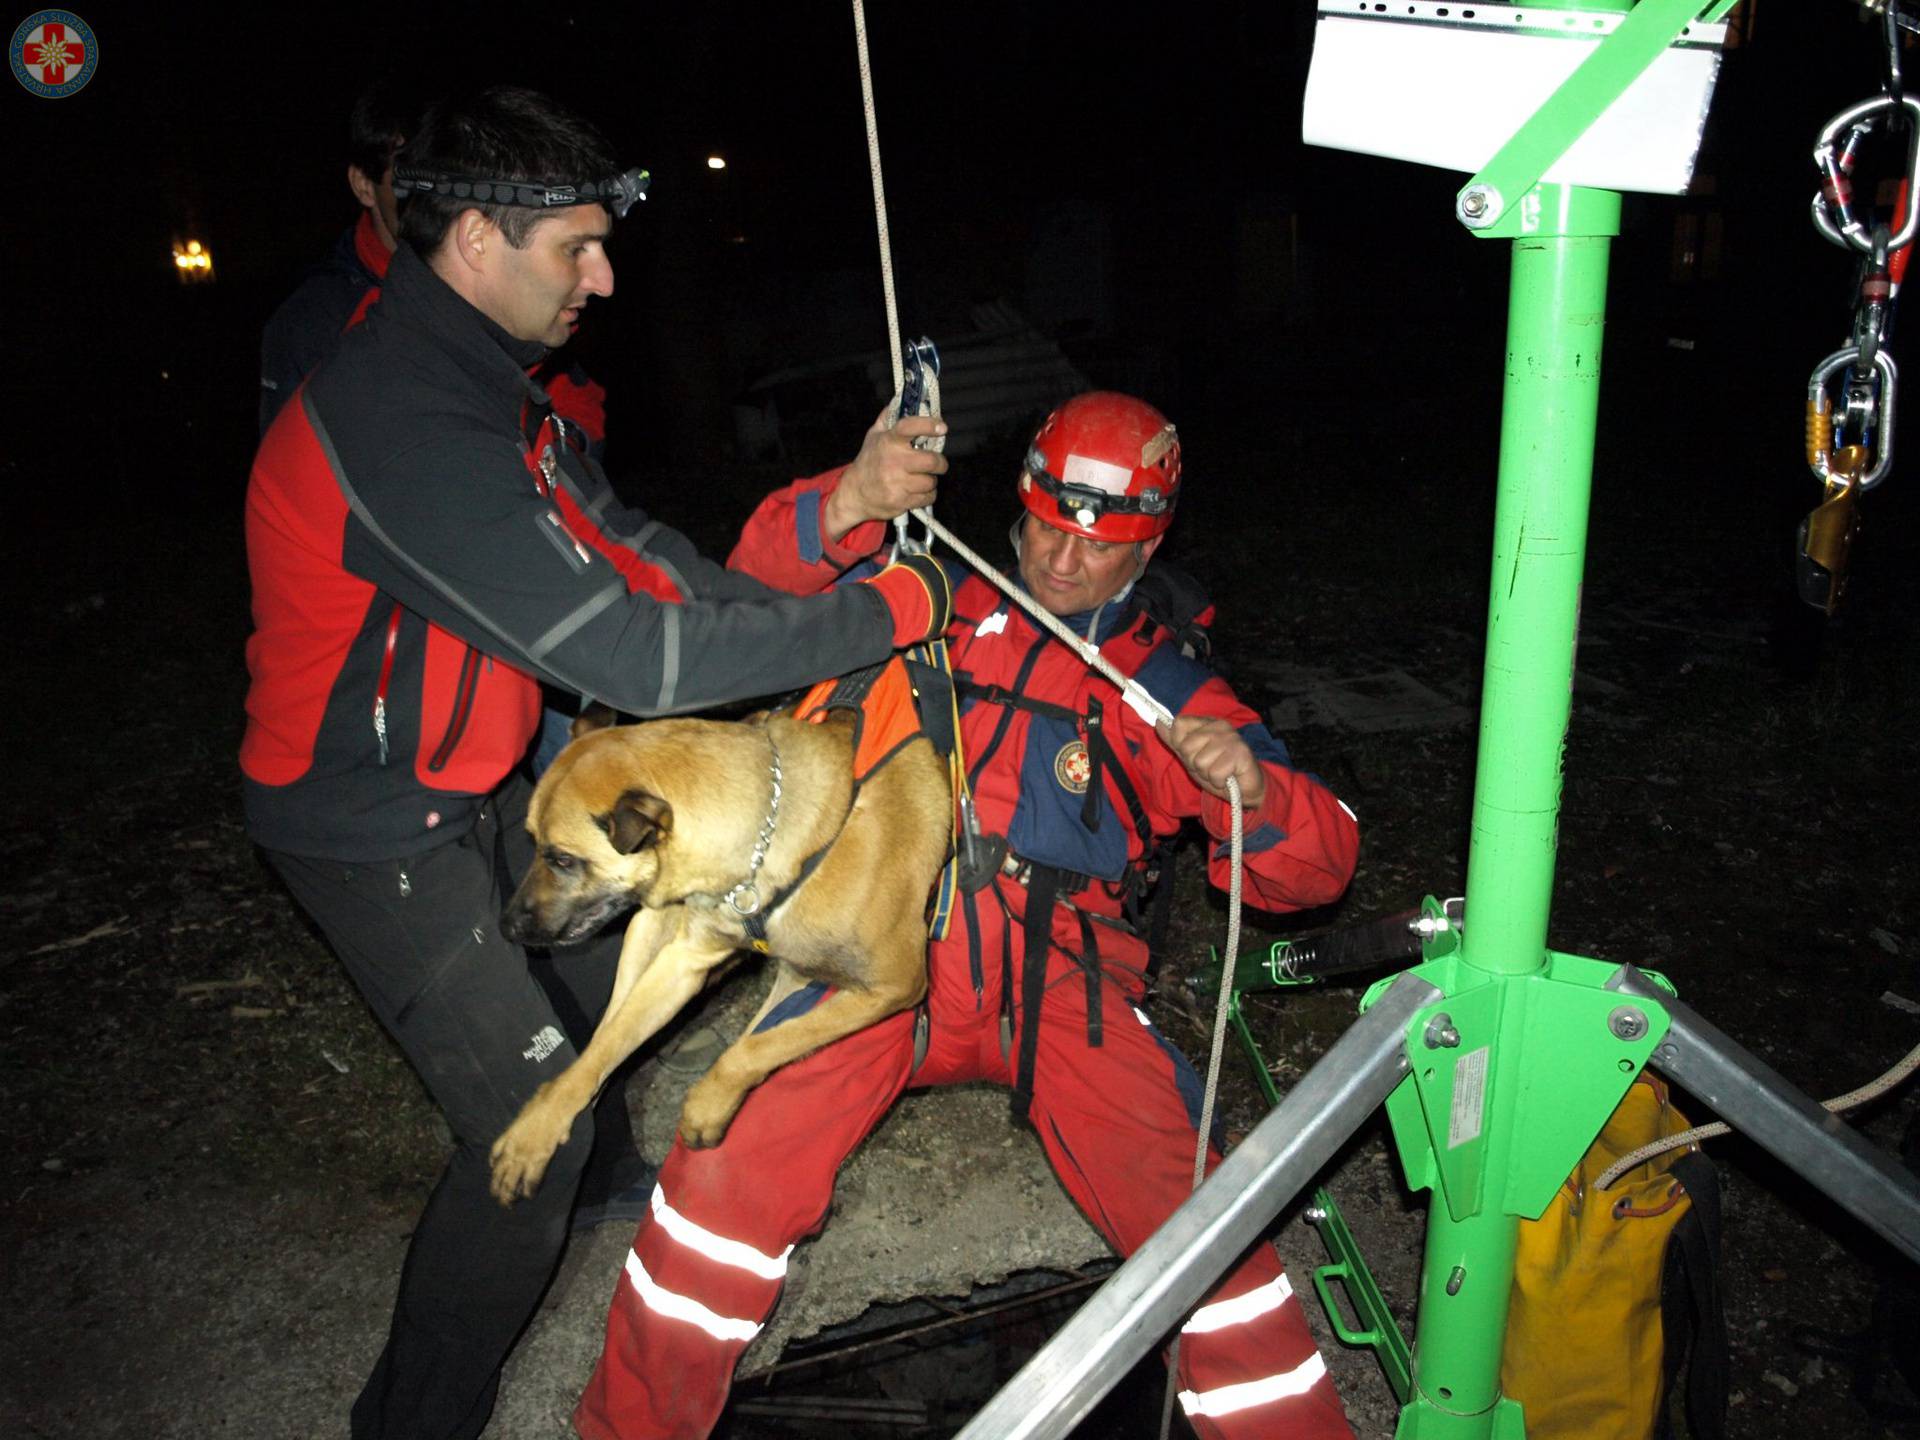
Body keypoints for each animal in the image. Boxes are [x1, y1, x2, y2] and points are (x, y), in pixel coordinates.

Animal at [491, 702, 948, 1205]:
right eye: (533, 843)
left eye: (563, 859)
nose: (506, 928)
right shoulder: (684, 960)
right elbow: (607, 1044)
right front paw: (539, 1126)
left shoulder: (897, 983)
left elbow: (761, 1045)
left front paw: (709, 1104)